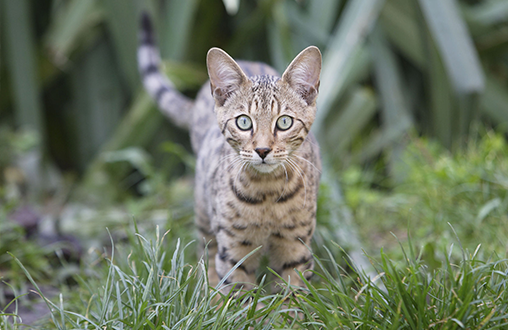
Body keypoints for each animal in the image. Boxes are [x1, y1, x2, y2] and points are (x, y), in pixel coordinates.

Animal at [139, 12, 322, 292]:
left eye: (284, 122)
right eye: (244, 122)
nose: (262, 149)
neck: (267, 195)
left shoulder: (296, 244)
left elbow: (293, 292)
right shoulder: (234, 249)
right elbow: (238, 292)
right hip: (204, 211)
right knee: (206, 252)